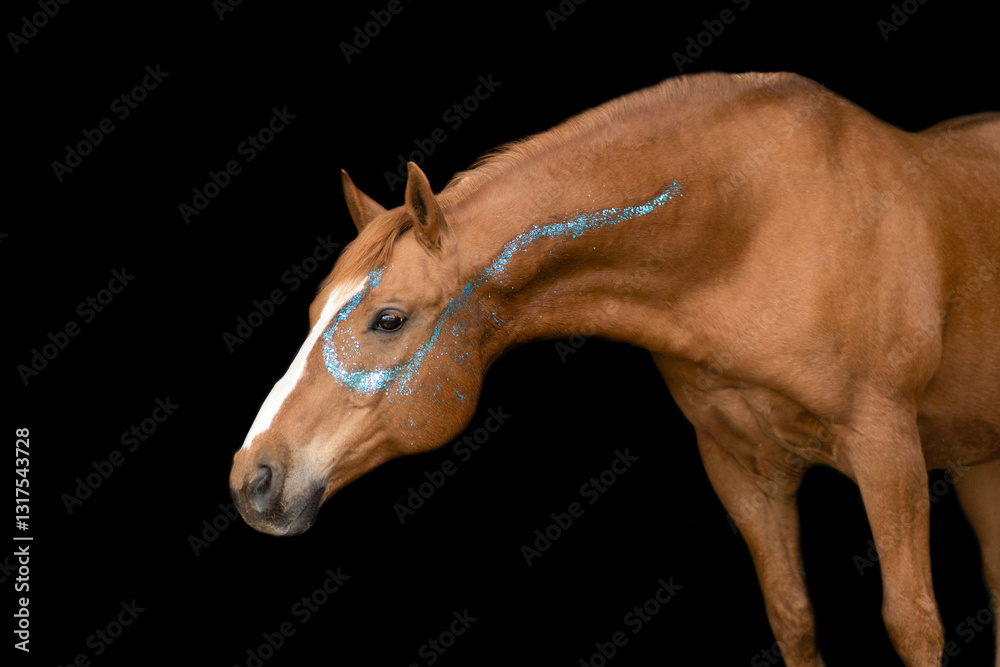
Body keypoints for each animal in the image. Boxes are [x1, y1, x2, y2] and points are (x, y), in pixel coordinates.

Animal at [229, 71, 1000, 666]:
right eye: (311, 311)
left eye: (388, 319)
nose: (252, 480)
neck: (756, 230)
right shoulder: (742, 467)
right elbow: (793, 616)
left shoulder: (887, 450)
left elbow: (913, 623)